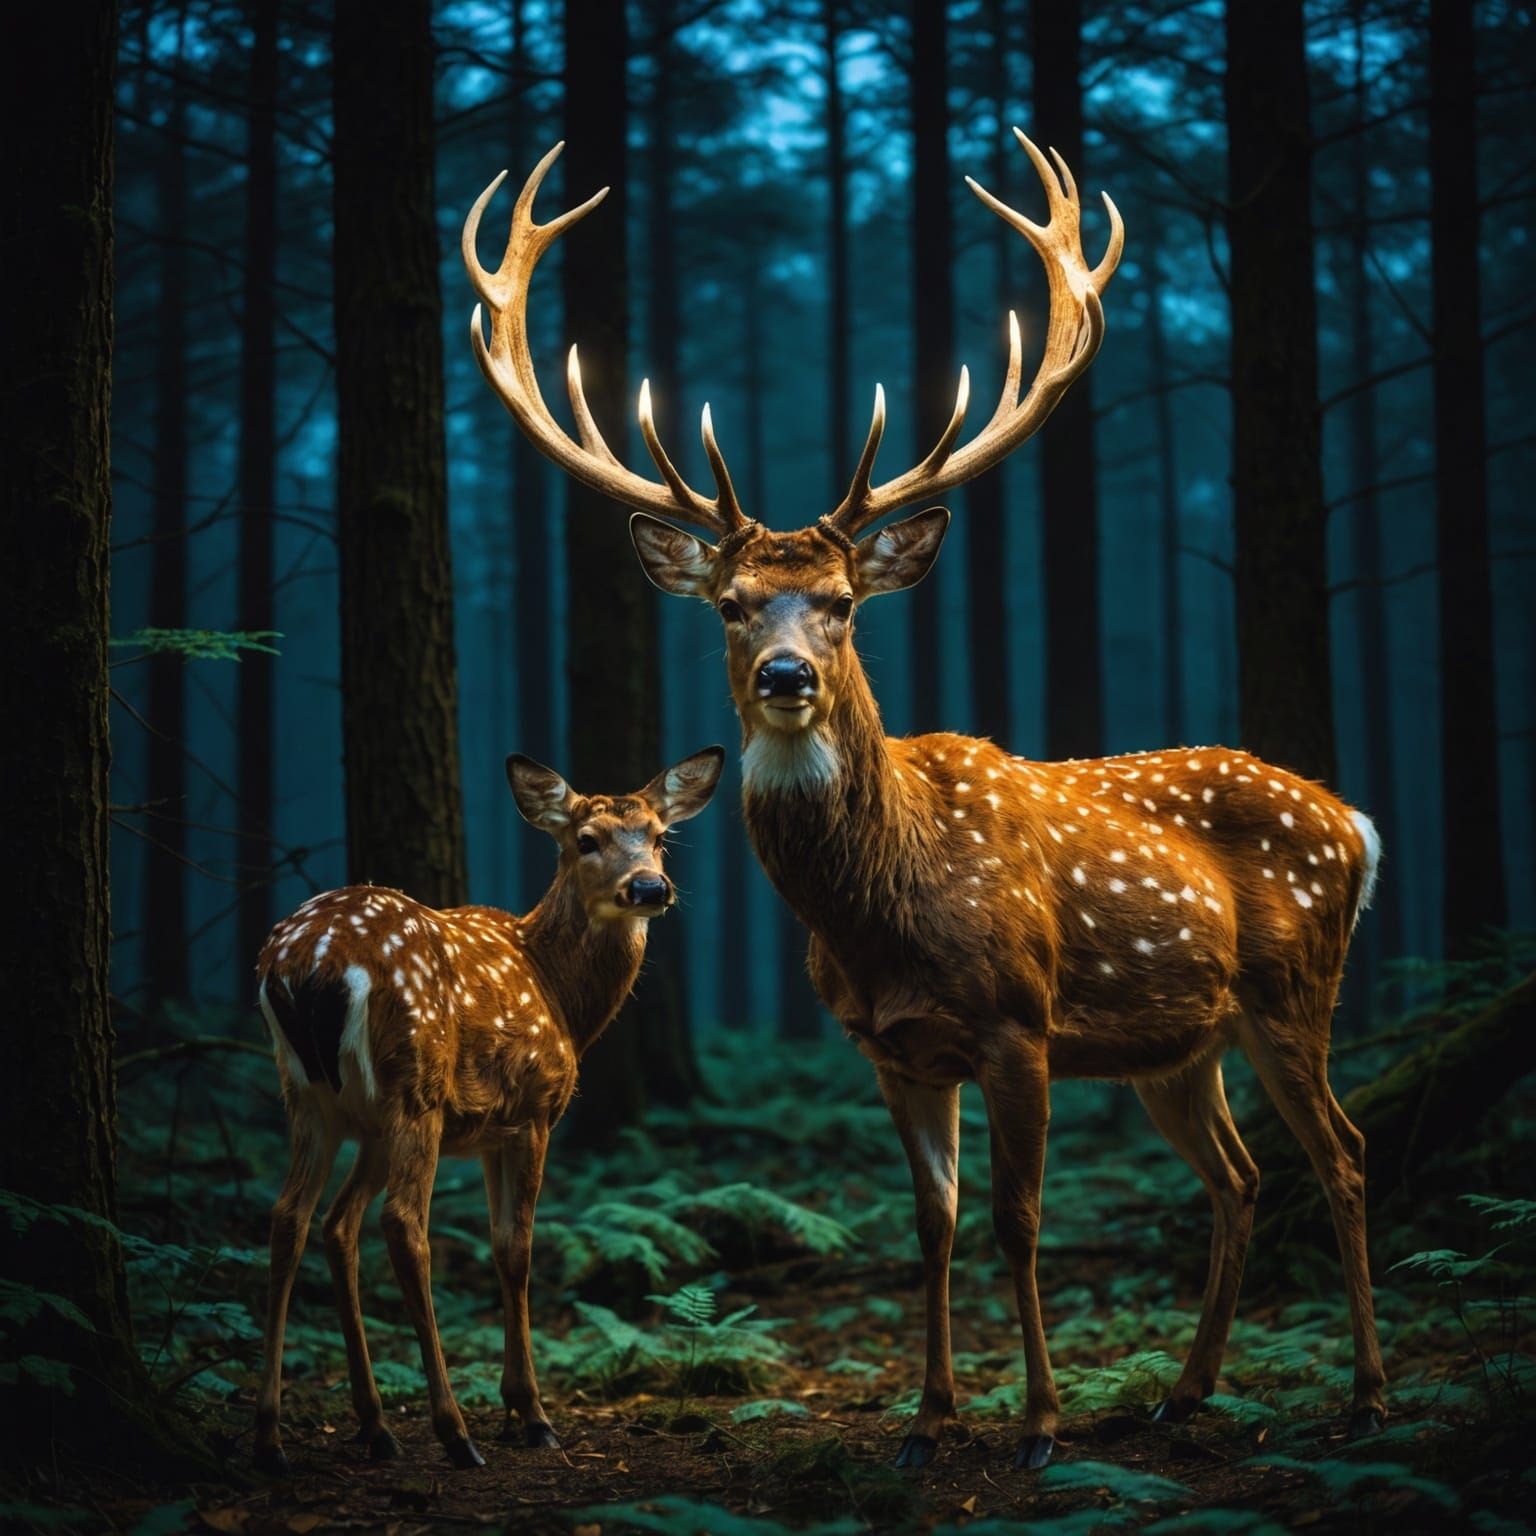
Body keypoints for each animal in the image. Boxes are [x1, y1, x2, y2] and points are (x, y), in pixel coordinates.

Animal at [251, 747, 724, 1474]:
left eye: (659, 836)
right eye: (586, 840)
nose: (650, 888)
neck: (561, 996)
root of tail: (306, 965)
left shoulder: (478, 1130)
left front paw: (510, 1409)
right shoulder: (533, 1111)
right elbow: (514, 1247)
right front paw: (528, 1413)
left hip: (317, 1101)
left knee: (304, 1220)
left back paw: (307, 1432)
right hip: (413, 1088)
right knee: (401, 1225)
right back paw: (452, 1431)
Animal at [461, 134, 1388, 1471]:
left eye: (844, 604)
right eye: (732, 605)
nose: (786, 677)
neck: (882, 918)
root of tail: (1352, 820)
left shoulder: (1018, 1021)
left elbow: (1018, 1218)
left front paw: (1040, 1422)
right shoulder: (890, 1048)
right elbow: (932, 1224)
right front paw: (931, 1418)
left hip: (1293, 988)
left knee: (1346, 1158)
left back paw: (1365, 1393)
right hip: (1178, 1043)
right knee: (1240, 1176)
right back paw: (1186, 1391)